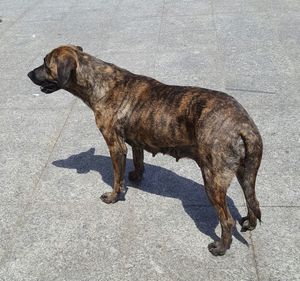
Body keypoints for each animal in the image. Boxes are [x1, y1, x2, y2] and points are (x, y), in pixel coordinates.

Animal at [28, 44, 262, 255]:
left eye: (46, 63)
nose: (28, 73)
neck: (100, 82)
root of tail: (243, 125)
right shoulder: (135, 143)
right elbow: (139, 161)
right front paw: (136, 176)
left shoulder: (115, 145)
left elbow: (117, 178)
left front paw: (113, 196)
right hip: (245, 173)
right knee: (252, 201)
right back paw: (249, 224)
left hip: (213, 180)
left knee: (227, 220)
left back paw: (221, 247)